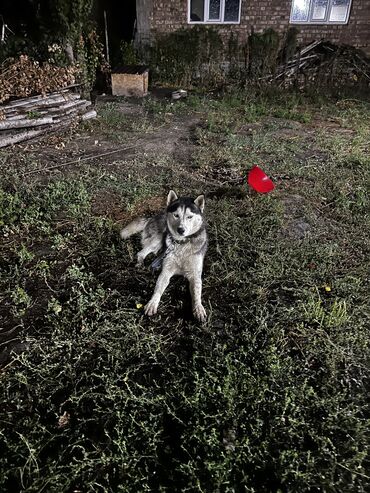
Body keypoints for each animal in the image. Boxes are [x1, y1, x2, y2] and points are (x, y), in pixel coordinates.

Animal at [121, 190, 208, 320]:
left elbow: (197, 294)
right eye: (176, 215)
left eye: (190, 217)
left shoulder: (195, 275)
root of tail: (153, 217)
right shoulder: (166, 271)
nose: (180, 230)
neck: (181, 244)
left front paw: (198, 308)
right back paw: (140, 263)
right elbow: (158, 289)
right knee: (141, 253)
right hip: (157, 241)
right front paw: (152, 303)